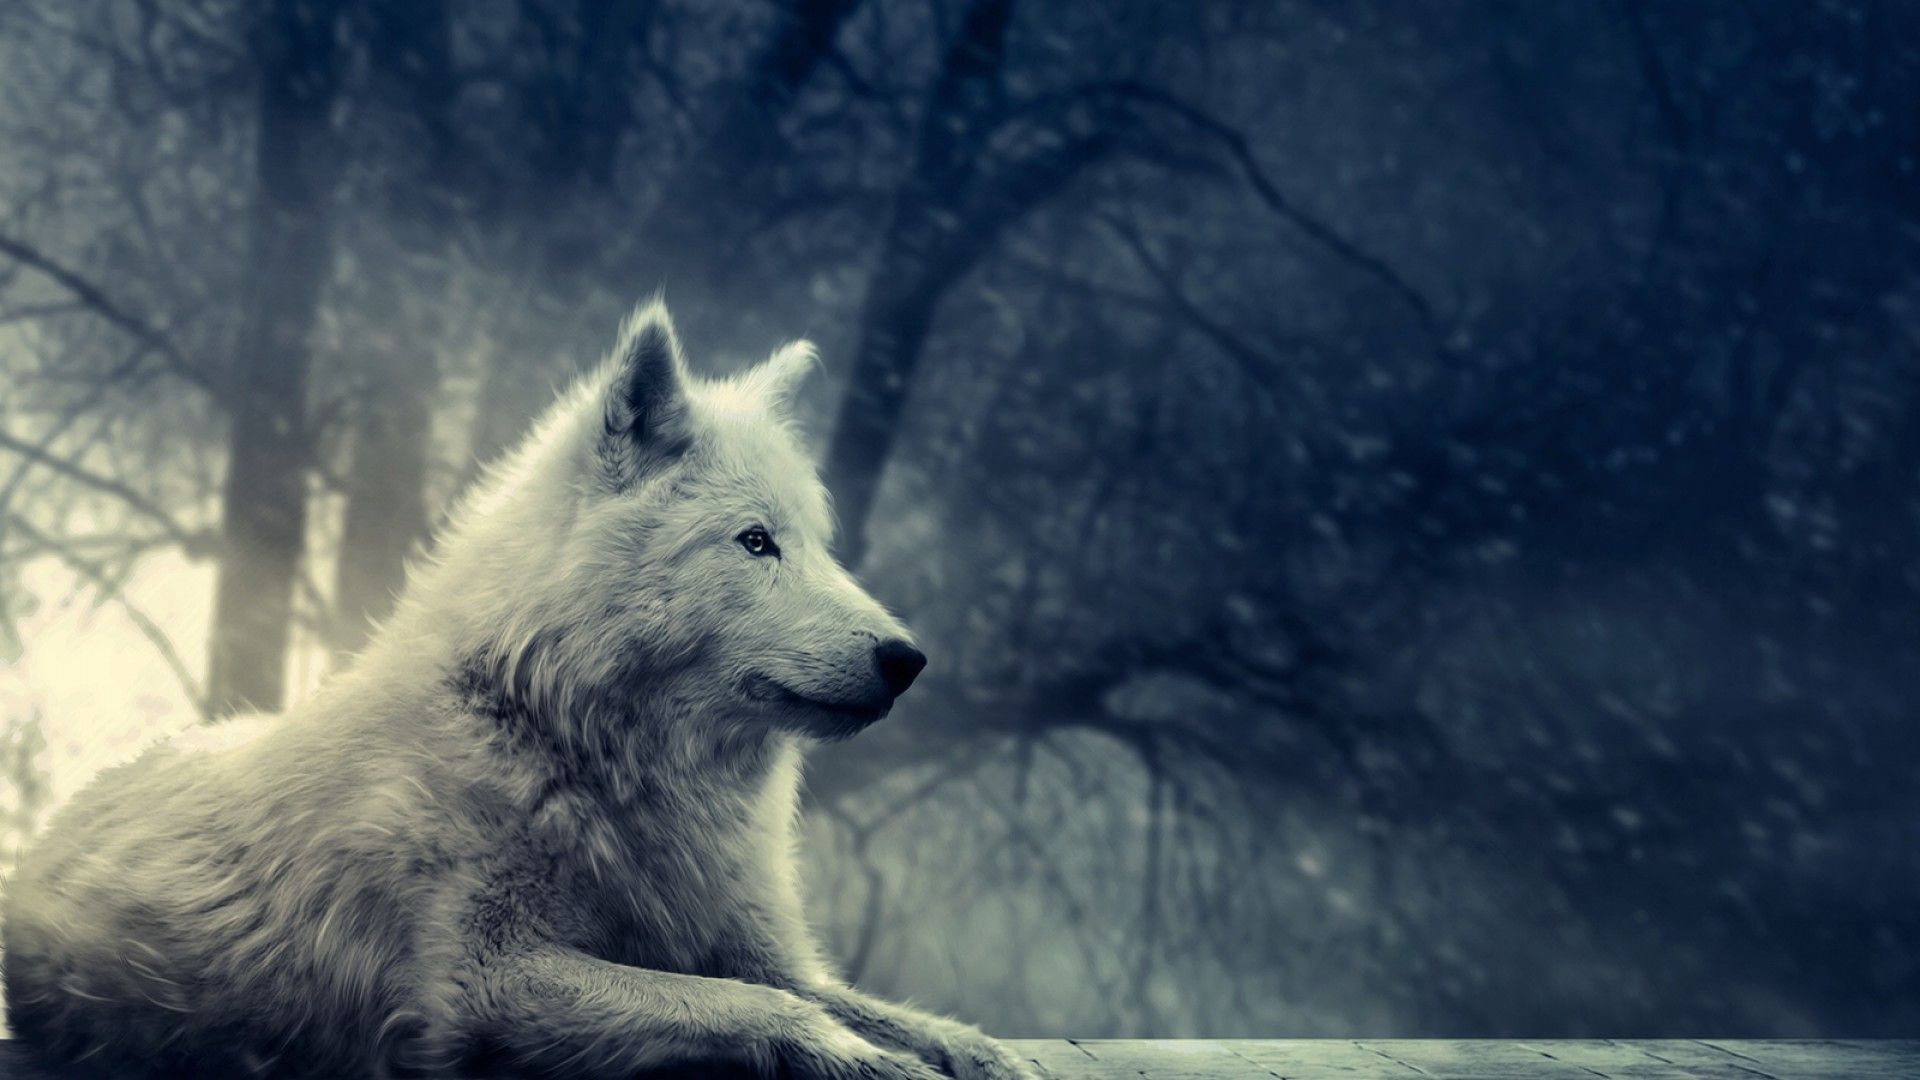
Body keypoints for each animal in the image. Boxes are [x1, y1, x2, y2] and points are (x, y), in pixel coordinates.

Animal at [3, 304, 1035, 1079]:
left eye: (818, 544)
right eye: (755, 542)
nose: (908, 658)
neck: (562, 739)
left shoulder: (761, 947)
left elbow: (876, 1009)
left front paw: (980, 1053)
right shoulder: (485, 982)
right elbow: (753, 1006)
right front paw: (864, 1059)